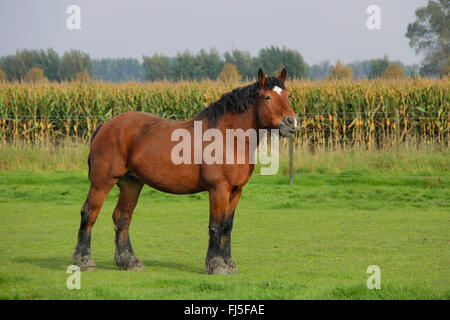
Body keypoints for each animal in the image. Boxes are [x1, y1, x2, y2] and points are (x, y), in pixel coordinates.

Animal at [74, 68, 298, 276]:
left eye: (287, 95)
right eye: (267, 97)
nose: (292, 122)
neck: (228, 138)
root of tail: (105, 125)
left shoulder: (235, 191)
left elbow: (227, 226)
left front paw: (230, 264)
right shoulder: (218, 189)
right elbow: (216, 225)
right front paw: (217, 265)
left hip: (131, 184)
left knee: (122, 217)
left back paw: (129, 261)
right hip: (102, 182)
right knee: (89, 213)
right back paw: (84, 261)